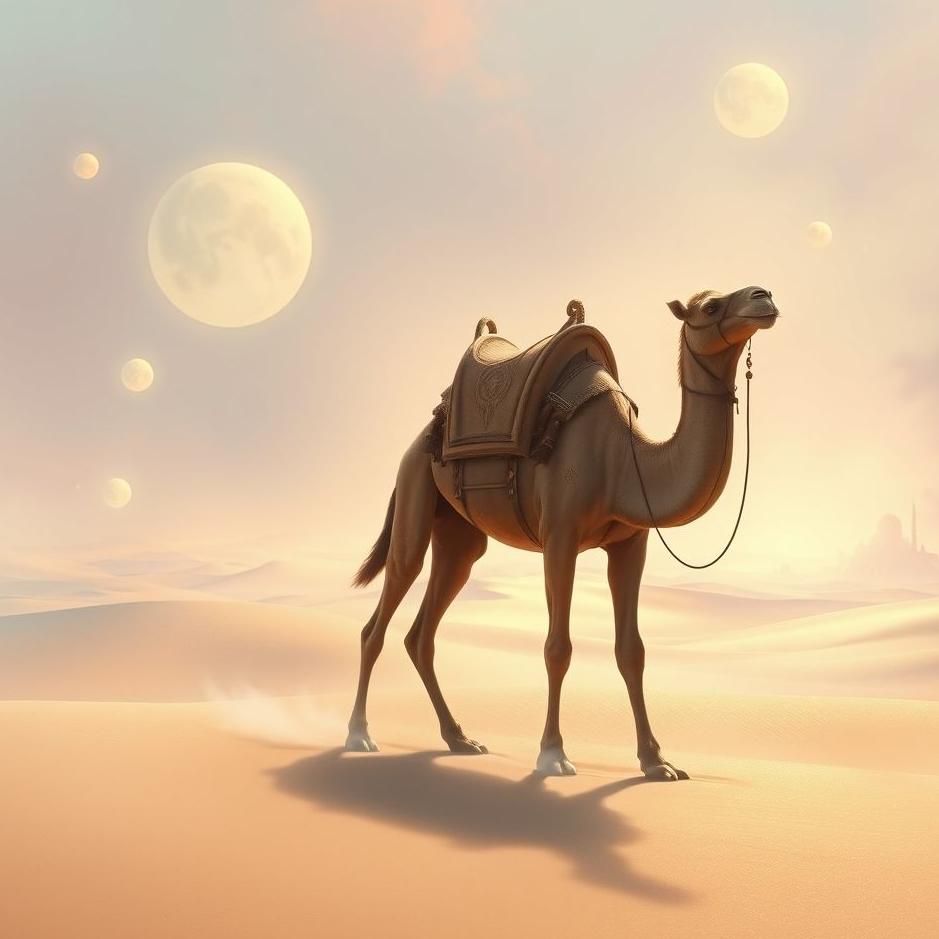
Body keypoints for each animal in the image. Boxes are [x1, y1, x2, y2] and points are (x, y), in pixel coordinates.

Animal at [346, 284, 779, 780]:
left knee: (424, 629)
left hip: (459, 534)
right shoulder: (560, 536)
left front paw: (657, 761)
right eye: (710, 306)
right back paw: (359, 735)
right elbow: (558, 647)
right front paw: (552, 754)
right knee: (384, 608)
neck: (625, 460)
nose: (763, 296)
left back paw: (459, 738)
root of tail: (419, 437)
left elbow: (632, 650)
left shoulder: (631, 544)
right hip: (415, 487)